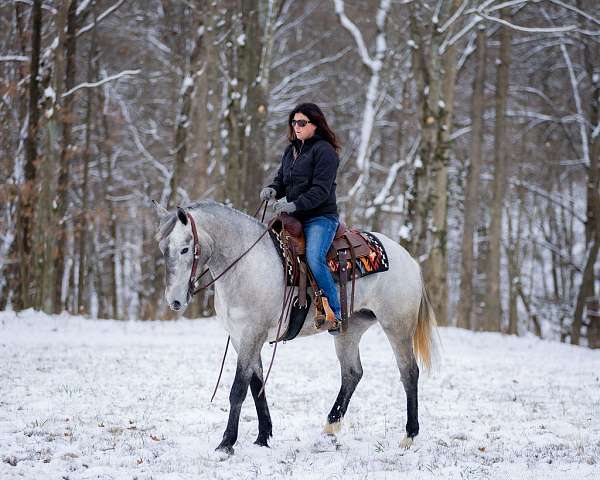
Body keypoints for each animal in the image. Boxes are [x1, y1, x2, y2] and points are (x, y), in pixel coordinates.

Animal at [155, 201, 436, 456]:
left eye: (185, 249)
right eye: (162, 248)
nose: (174, 301)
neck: (247, 264)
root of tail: (408, 259)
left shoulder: (252, 335)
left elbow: (239, 389)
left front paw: (226, 444)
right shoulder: (239, 337)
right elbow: (257, 386)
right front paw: (263, 437)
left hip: (397, 326)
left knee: (408, 373)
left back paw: (409, 436)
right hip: (349, 330)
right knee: (352, 374)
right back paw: (328, 430)